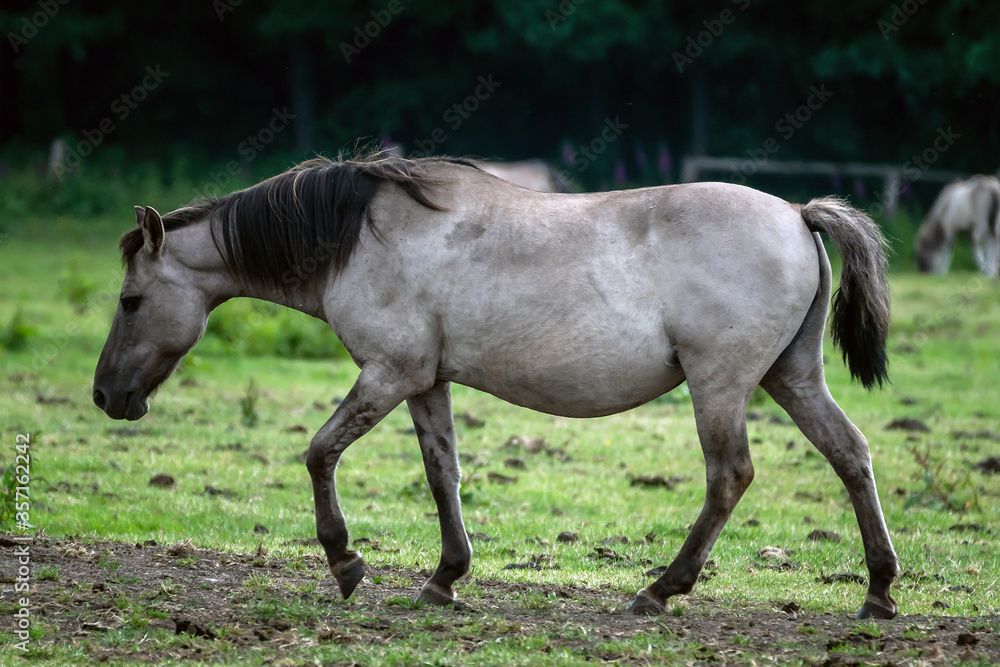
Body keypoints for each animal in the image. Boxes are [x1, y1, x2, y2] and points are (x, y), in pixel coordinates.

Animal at [94, 154, 904, 620]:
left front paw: (346, 562)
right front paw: (444, 578)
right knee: (852, 454)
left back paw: (658, 590)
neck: (361, 235)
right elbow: (442, 473)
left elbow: (320, 453)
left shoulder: (387, 373)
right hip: (790, 377)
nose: (107, 396)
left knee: (729, 475)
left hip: (722, 385)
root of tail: (797, 213)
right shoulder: (424, 381)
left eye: (131, 301)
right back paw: (878, 590)